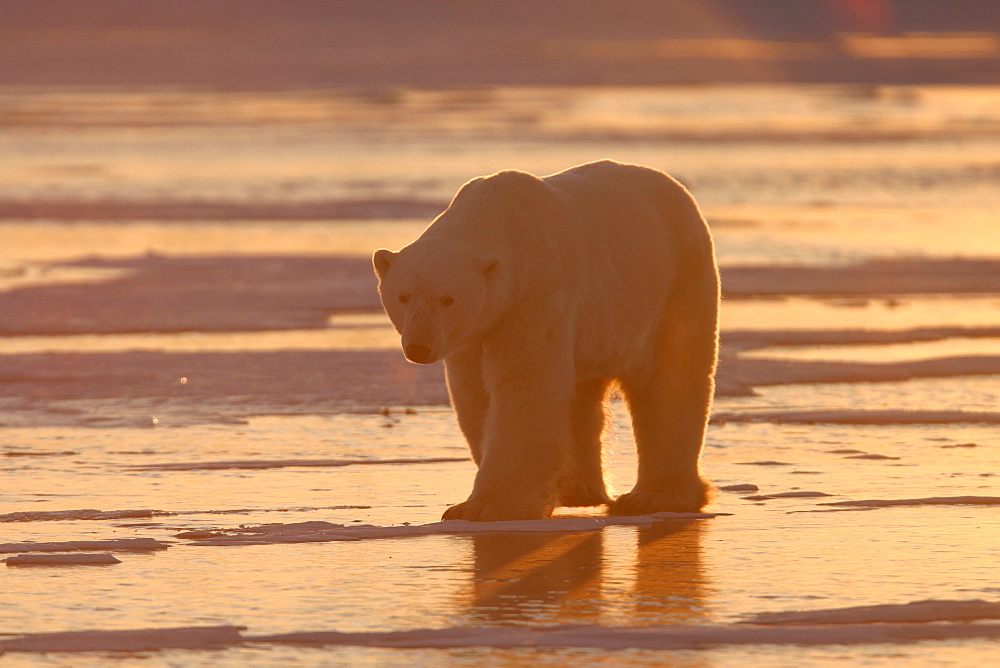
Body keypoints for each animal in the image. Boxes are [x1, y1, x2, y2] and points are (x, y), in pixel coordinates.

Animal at [376, 158, 720, 520]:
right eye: (403, 296)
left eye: (448, 299)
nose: (419, 347)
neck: (499, 216)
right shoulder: (475, 331)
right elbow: (475, 393)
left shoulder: (536, 292)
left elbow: (525, 384)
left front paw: (486, 506)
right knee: (582, 393)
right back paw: (577, 490)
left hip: (674, 283)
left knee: (671, 379)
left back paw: (655, 496)